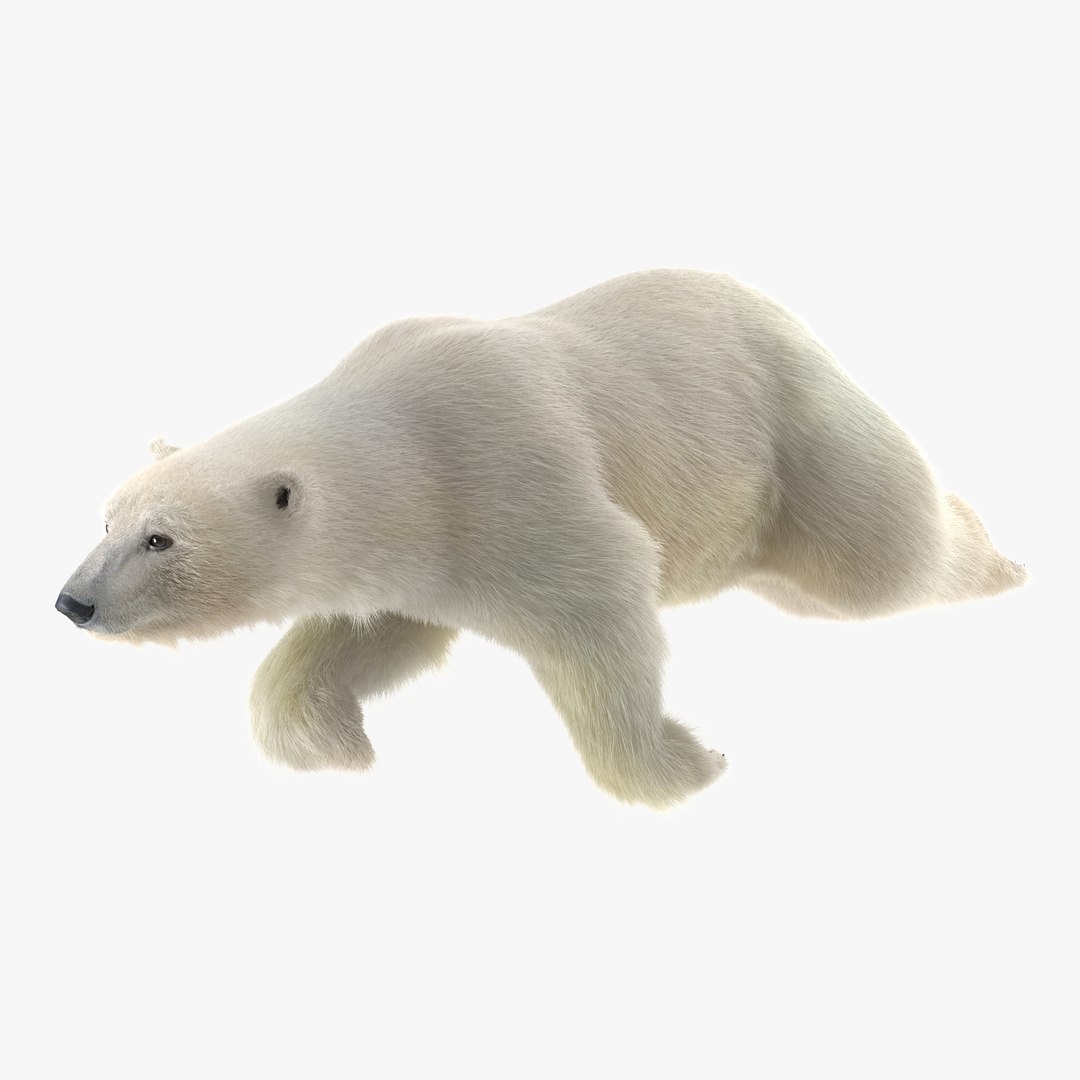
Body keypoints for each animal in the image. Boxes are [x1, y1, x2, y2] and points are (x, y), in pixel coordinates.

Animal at [55, 268, 1027, 808]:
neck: (404, 434)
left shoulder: (506, 468)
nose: (72, 601)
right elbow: (384, 632)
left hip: (795, 434)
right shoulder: (428, 541)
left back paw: (991, 555)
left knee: (876, 555)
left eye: (160, 540)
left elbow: (598, 603)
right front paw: (325, 738)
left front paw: (681, 764)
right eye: (106, 521)